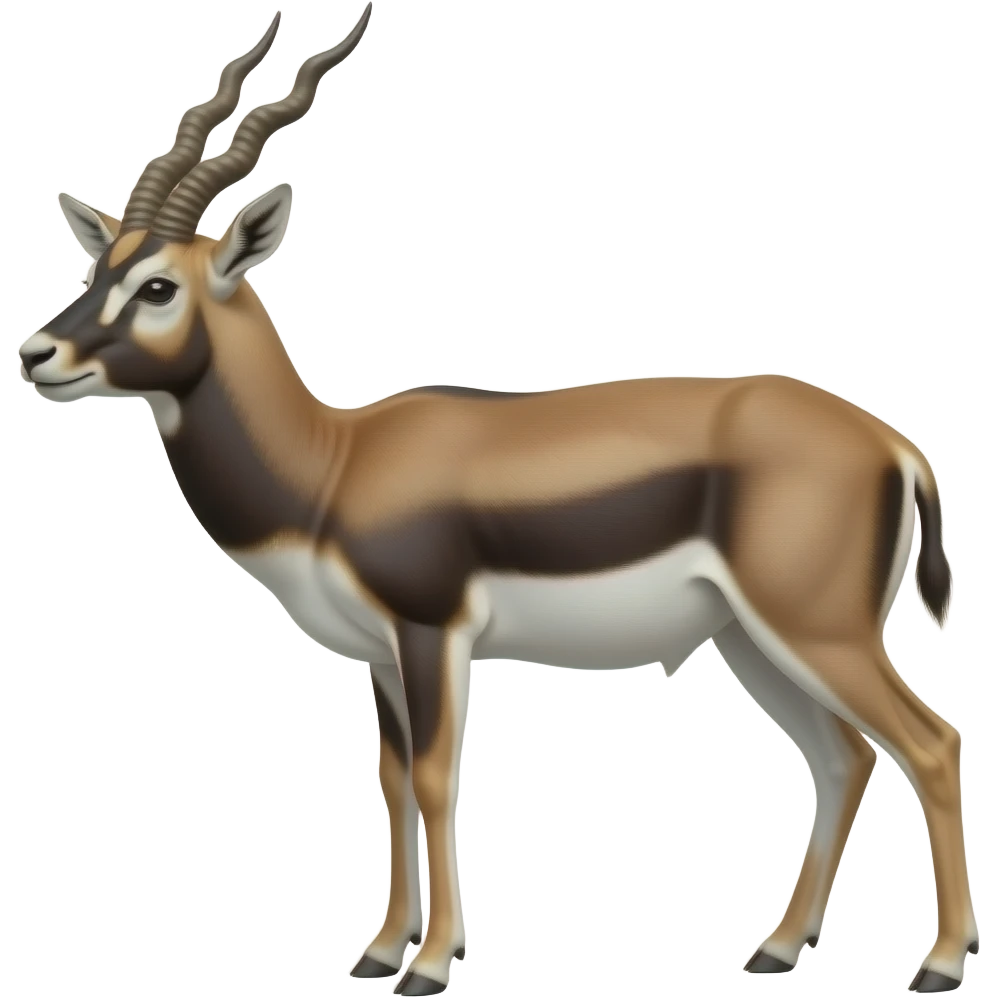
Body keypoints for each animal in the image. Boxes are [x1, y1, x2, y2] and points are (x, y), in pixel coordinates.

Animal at [16, 6, 978, 996]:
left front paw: (432, 962)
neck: (334, 464)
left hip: (818, 630)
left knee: (930, 742)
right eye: (99, 268)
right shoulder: (381, 656)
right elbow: (391, 781)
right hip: (752, 638)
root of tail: (896, 443)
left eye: (157, 284)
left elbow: (439, 777)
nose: (38, 354)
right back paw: (776, 947)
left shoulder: (431, 631)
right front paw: (379, 948)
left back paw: (939, 962)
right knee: (842, 755)